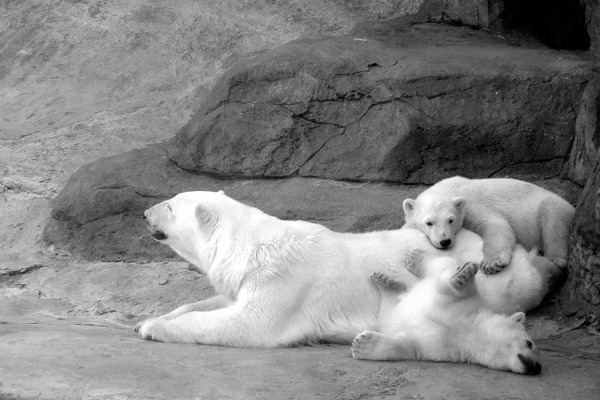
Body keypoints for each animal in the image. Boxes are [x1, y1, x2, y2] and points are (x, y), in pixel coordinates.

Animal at [138, 191, 560, 346]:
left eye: (170, 205)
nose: (144, 212)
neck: (253, 247)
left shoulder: (285, 281)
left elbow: (248, 323)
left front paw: (154, 328)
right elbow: (218, 303)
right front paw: (151, 318)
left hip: (492, 280)